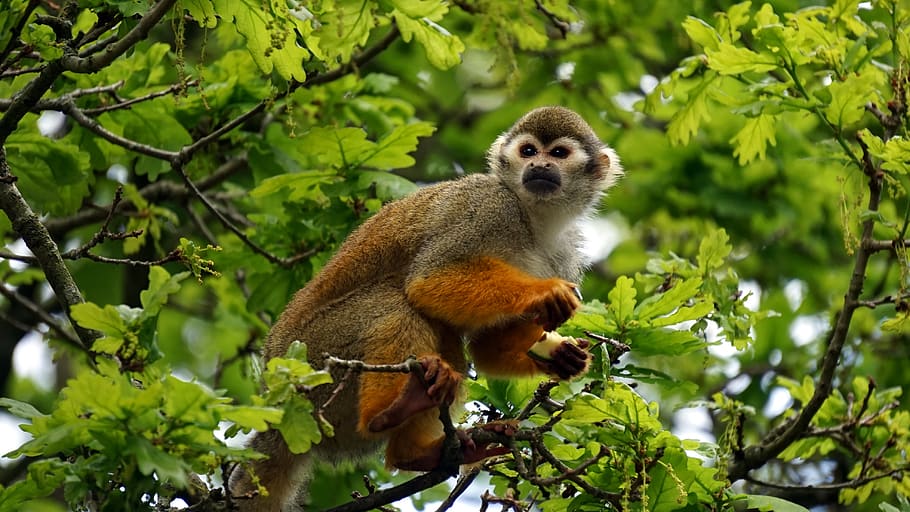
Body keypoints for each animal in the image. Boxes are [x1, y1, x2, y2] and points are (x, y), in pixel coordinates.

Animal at [229, 106, 623, 511]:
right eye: (528, 150)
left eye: (558, 154)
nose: (539, 165)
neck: (534, 219)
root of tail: (277, 398)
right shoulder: (488, 206)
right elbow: (427, 280)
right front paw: (544, 293)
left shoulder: (566, 253)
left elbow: (485, 347)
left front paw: (560, 357)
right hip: (314, 361)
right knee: (396, 301)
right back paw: (389, 412)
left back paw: (417, 451)